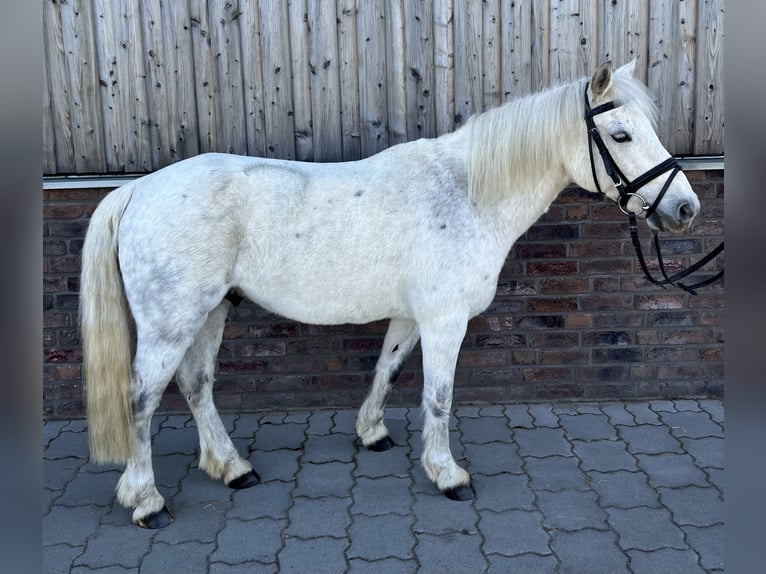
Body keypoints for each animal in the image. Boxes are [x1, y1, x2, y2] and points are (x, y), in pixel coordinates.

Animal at [80, 60, 701, 528]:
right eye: (620, 135)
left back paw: (232, 467)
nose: (684, 208)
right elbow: (439, 397)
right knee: (142, 400)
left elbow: (388, 369)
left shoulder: (411, 317)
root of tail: (138, 189)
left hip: (210, 312)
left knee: (197, 385)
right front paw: (448, 474)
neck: (466, 193)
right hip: (171, 323)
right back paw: (146, 500)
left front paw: (372, 433)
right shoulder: (446, 319)